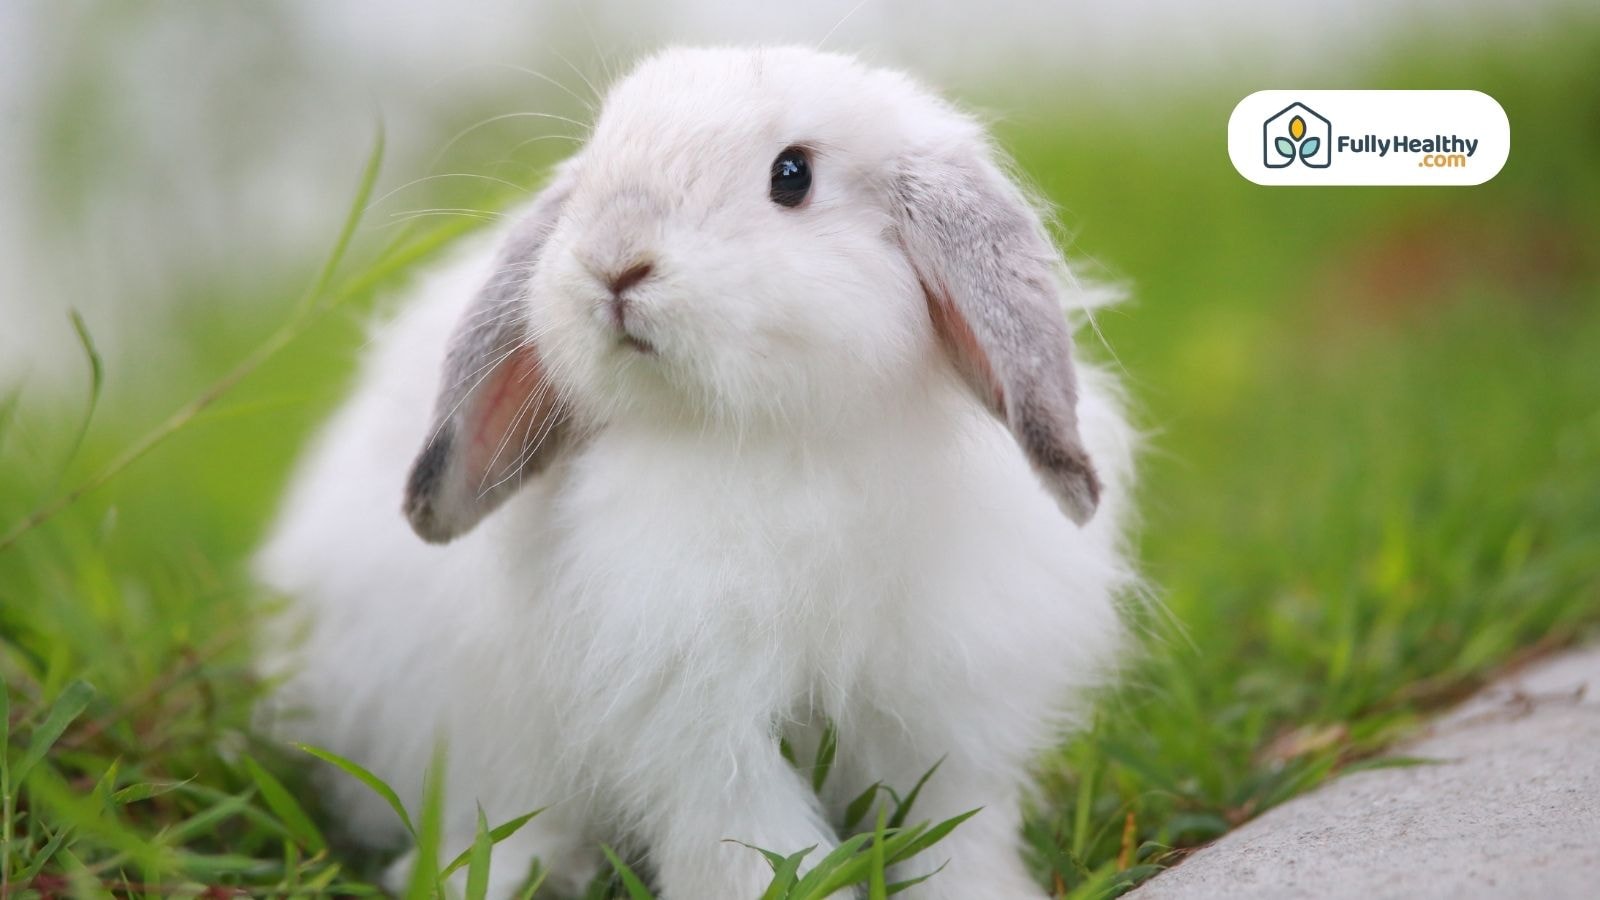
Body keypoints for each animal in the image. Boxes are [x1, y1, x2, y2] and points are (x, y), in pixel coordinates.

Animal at [255, 45, 1138, 900]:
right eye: (598, 158)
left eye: (792, 175)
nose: (614, 264)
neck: (776, 436)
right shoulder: (699, 727)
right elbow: (750, 841)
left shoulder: (947, 716)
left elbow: (955, 832)